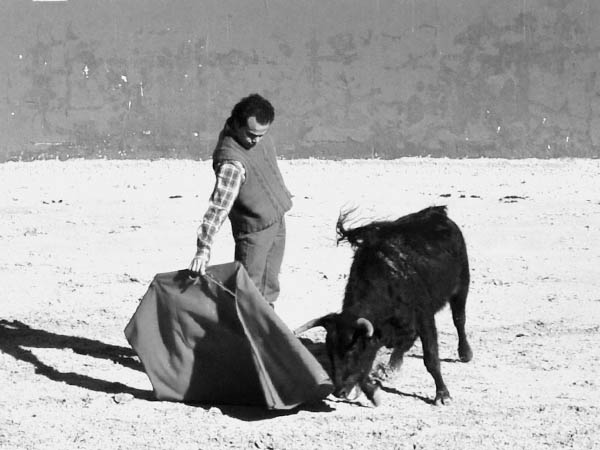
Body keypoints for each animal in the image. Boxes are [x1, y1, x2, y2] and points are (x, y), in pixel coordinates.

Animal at [296, 206, 474, 406]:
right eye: (330, 352)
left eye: (353, 351)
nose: (338, 392)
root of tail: (436, 212)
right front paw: (372, 390)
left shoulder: (424, 317)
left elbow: (431, 357)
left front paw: (443, 395)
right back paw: (391, 367)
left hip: (462, 286)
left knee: (459, 319)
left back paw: (465, 353)